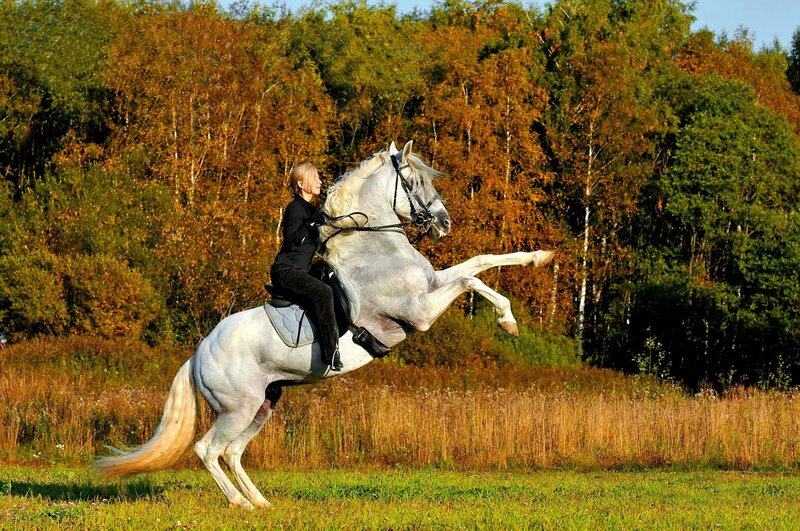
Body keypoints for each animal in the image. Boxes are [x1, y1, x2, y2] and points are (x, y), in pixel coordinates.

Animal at [93, 141, 554, 508]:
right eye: (414, 182)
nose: (444, 224)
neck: (374, 243)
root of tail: (197, 354)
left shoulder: (432, 286)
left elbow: (481, 262)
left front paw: (539, 258)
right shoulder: (421, 310)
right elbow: (471, 279)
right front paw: (508, 321)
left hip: (263, 404)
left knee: (234, 452)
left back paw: (261, 502)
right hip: (237, 407)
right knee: (209, 450)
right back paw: (240, 504)